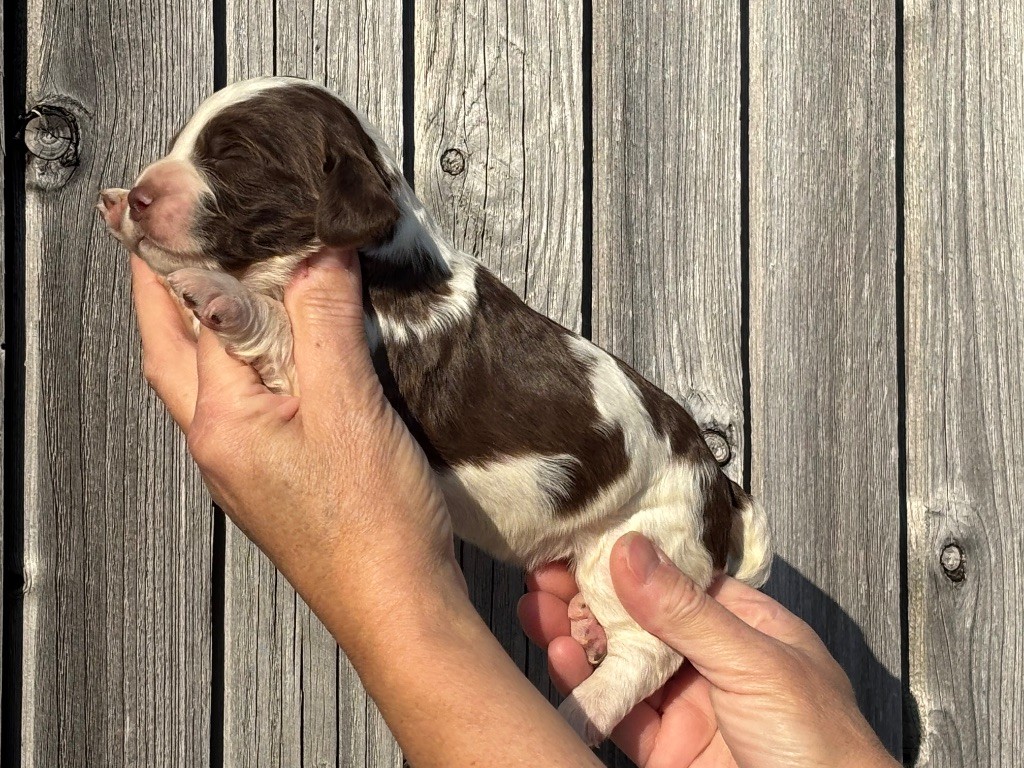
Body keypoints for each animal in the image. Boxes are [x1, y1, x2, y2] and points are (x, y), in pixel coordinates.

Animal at [96, 78, 770, 745]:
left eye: (234, 155)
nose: (136, 197)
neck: (383, 255)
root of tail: (719, 485)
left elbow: (273, 325)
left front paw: (218, 294)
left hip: (640, 542)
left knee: (646, 654)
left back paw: (578, 713)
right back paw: (583, 626)